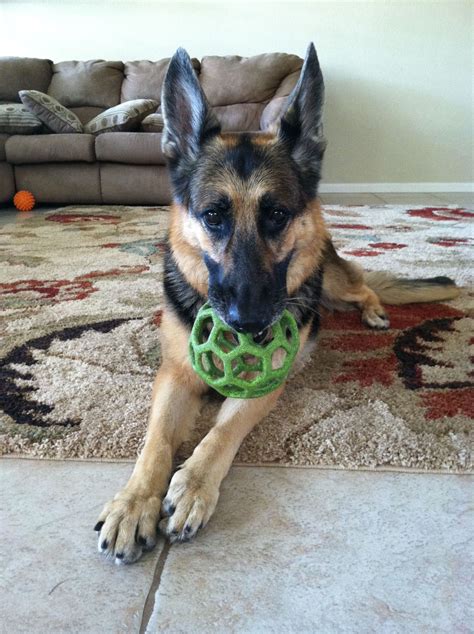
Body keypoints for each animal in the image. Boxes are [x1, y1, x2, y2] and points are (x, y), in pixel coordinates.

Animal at [93, 43, 460, 564]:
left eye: (278, 214)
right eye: (213, 216)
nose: (247, 322)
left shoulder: (265, 384)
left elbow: (220, 434)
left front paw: (193, 486)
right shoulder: (174, 374)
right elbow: (156, 442)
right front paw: (133, 502)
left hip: (329, 281)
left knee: (363, 284)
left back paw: (373, 312)